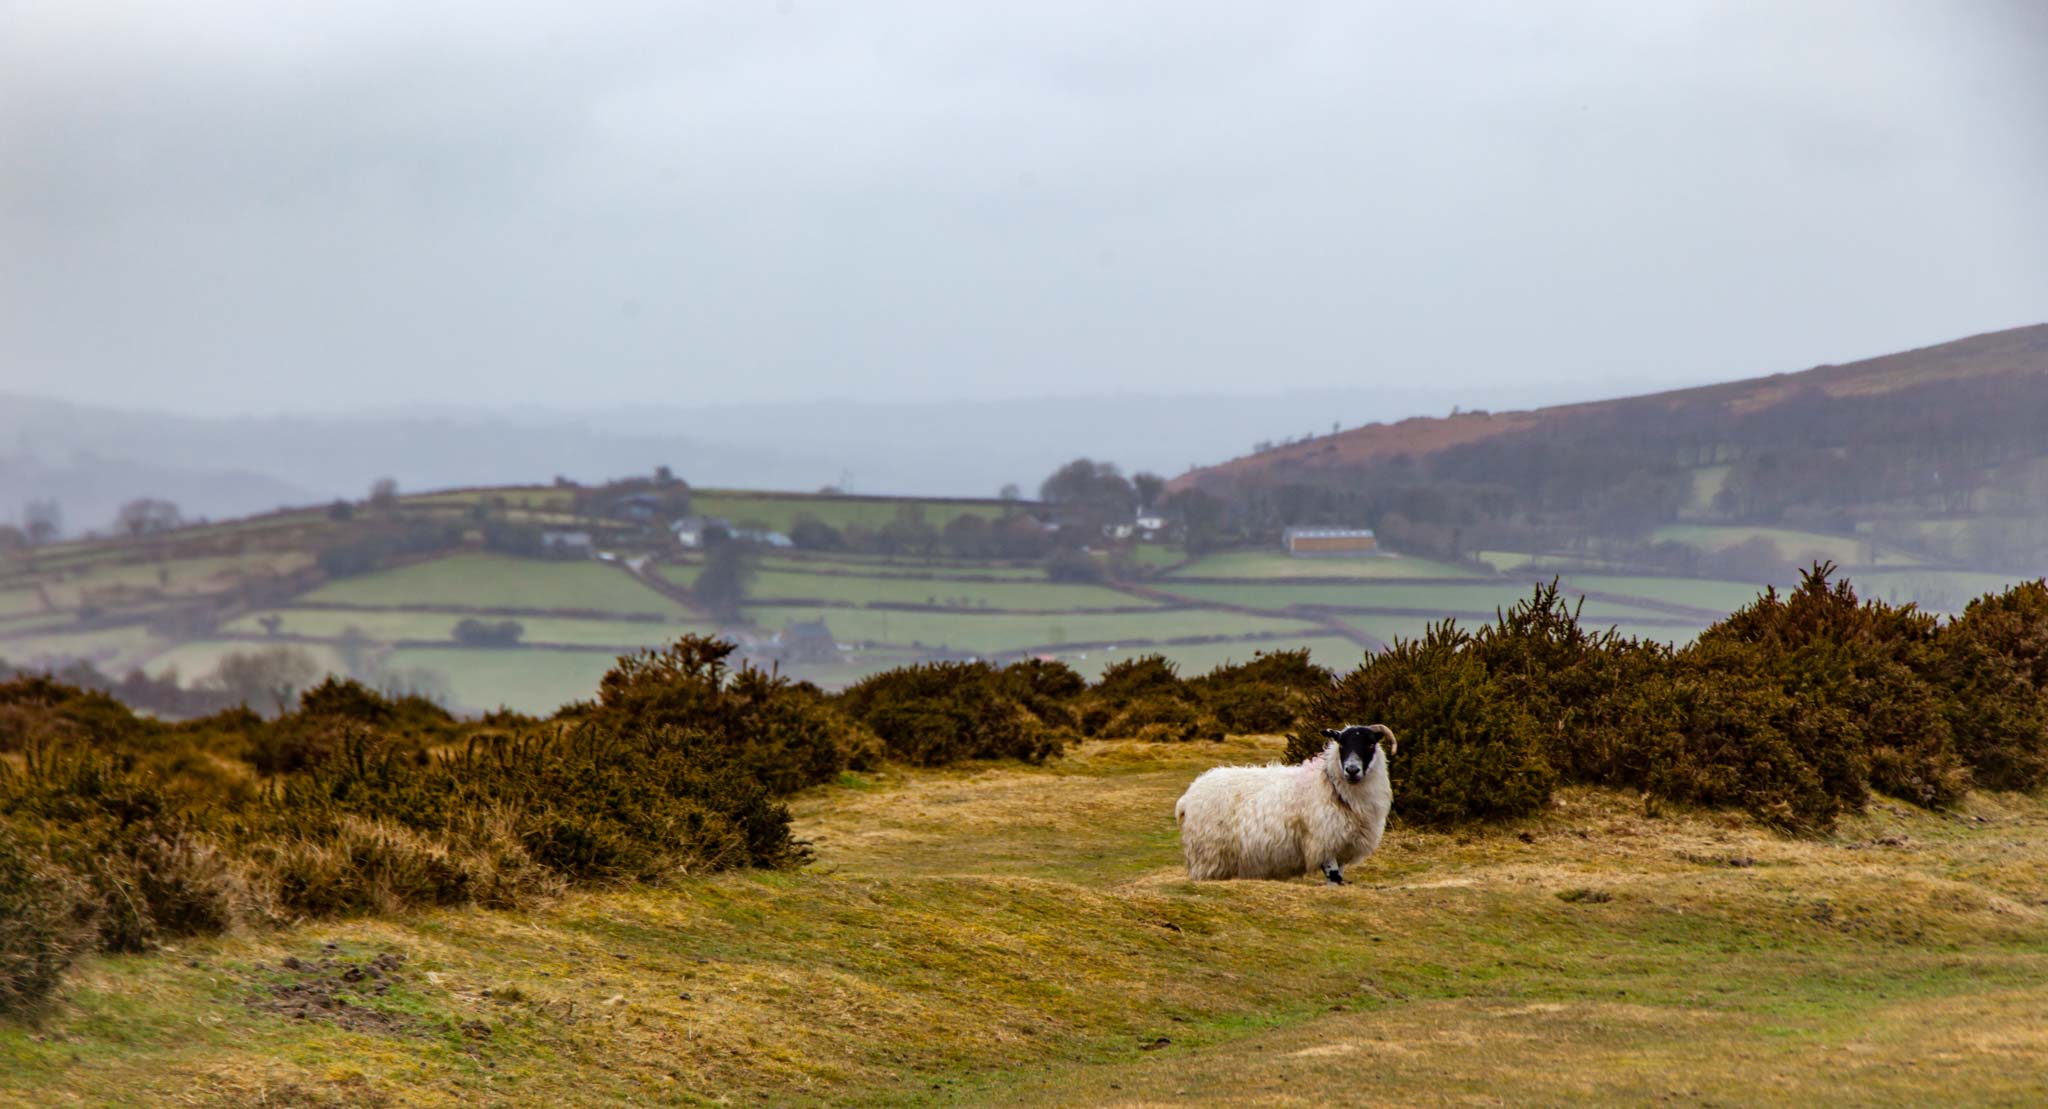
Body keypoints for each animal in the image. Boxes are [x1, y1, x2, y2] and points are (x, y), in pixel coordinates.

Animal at [1179, 724, 1400, 892]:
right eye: (1342, 745)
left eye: (1370, 743)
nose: (1352, 770)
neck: (1329, 783)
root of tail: (1189, 794)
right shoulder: (1323, 842)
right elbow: (1333, 876)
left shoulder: (1342, 845)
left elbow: (1340, 875)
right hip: (1207, 854)